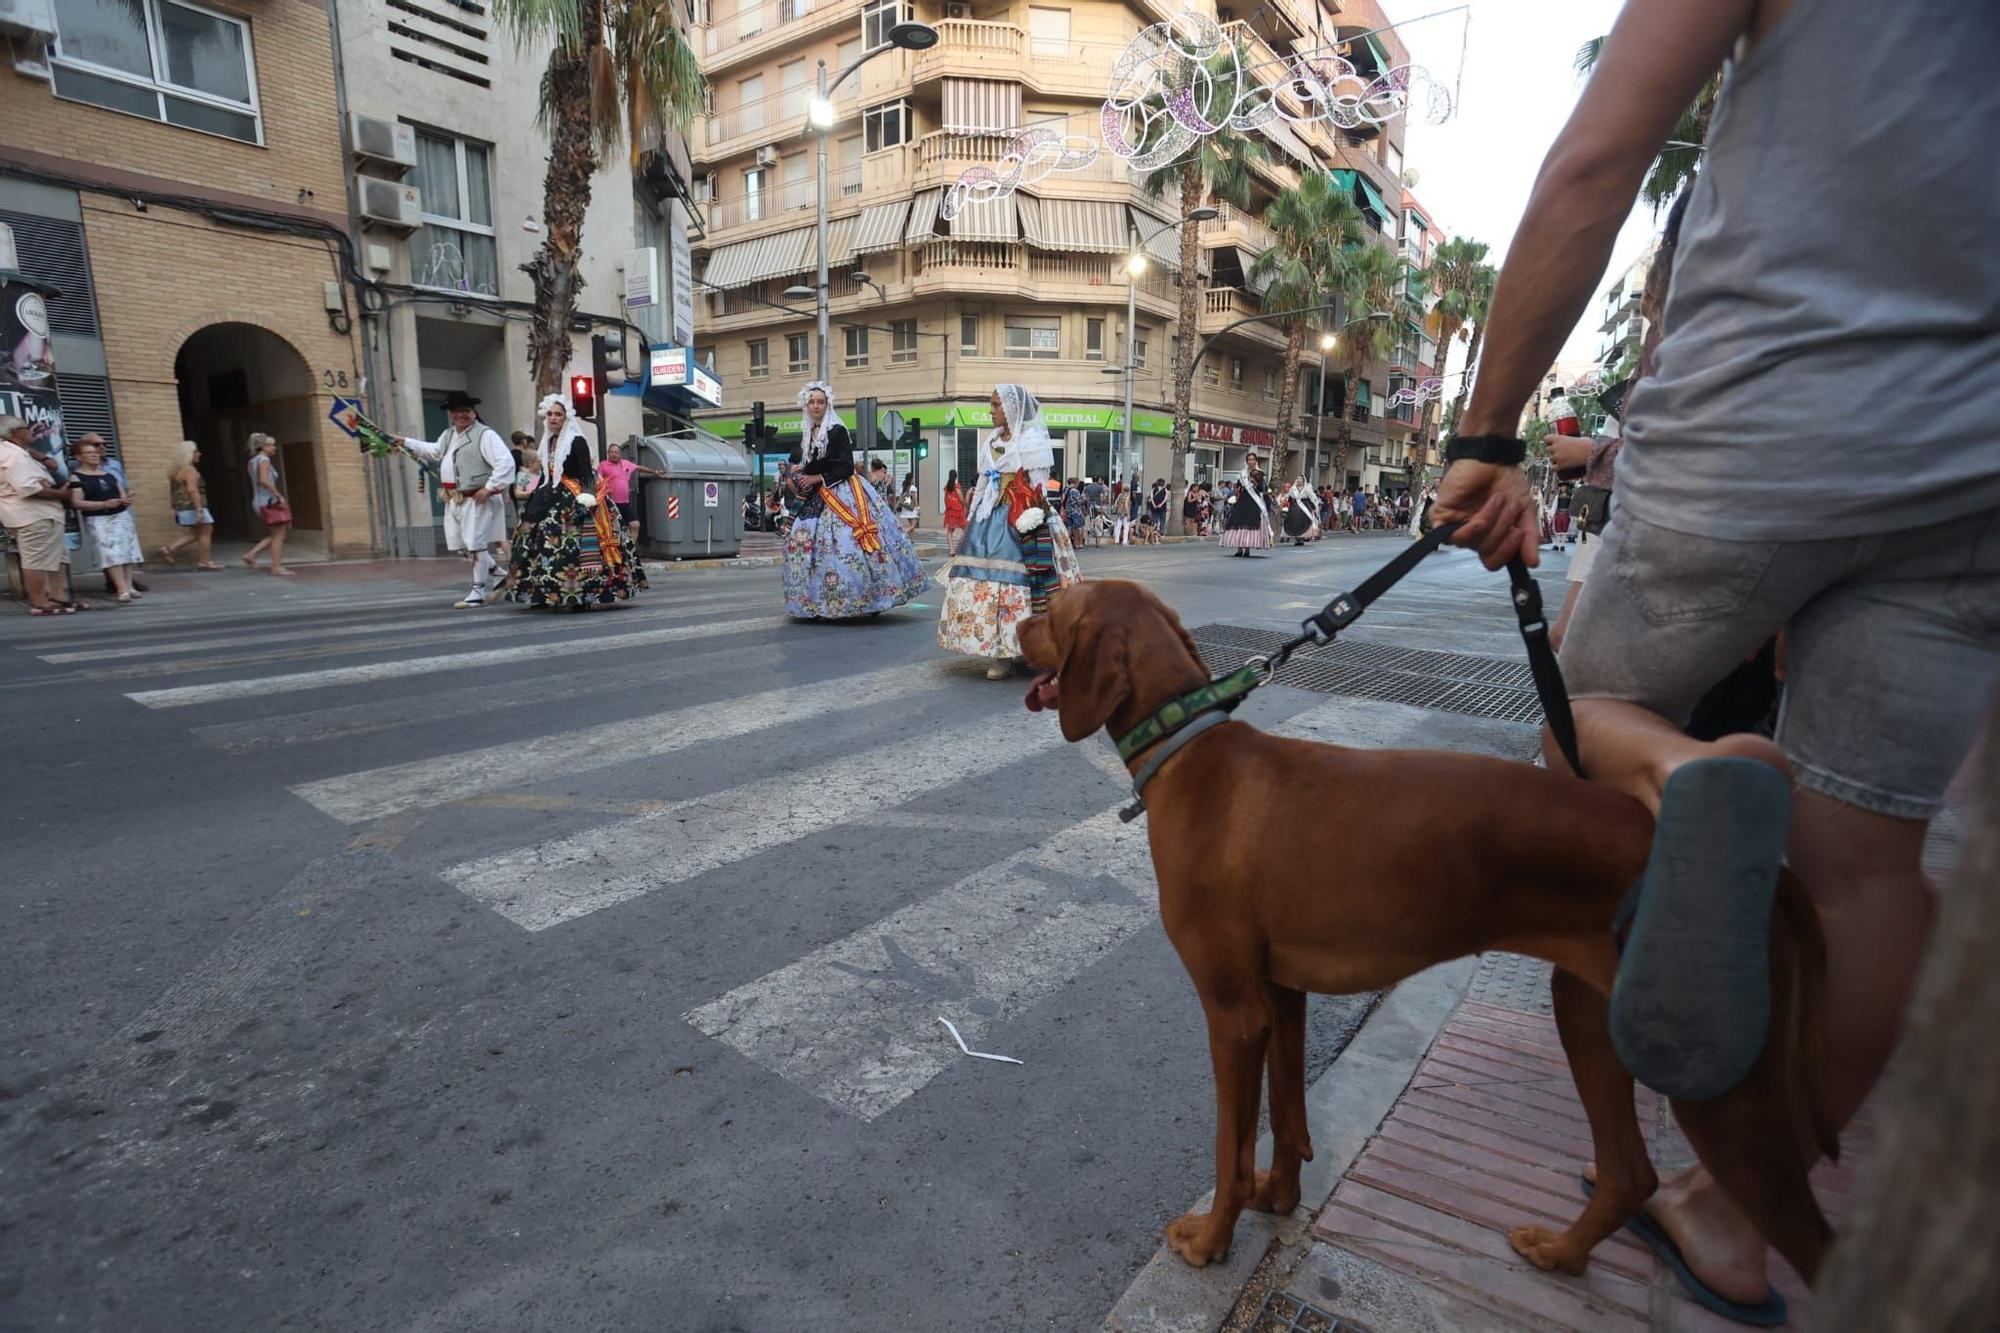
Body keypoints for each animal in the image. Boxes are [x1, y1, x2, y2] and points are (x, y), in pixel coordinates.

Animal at [1024, 584, 1832, 1288]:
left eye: (1055, 606)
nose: (1015, 623)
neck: (1188, 746)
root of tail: (1762, 866)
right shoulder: (1282, 993)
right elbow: (1286, 1112)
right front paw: (1279, 1196)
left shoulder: (1233, 1013)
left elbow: (1232, 1144)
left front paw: (1212, 1238)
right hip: (1588, 1015)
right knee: (1631, 1172)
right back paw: (1562, 1252)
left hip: (1724, 1093)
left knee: (1814, 1240)